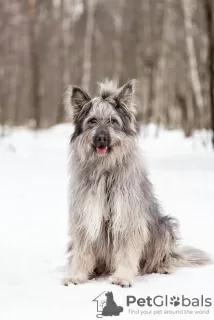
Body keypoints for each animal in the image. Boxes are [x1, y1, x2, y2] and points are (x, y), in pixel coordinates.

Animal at [61, 78, 211, 288]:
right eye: (92, 121)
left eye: (112, 121)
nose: (101, 138)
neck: (105, 170)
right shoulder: (85, 217)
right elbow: (83, 252)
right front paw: (78, 276)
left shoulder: (128, 218)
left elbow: (126, 251)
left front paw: (122, 277)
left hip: (163, 227)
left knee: (161, 256)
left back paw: (162, 267)